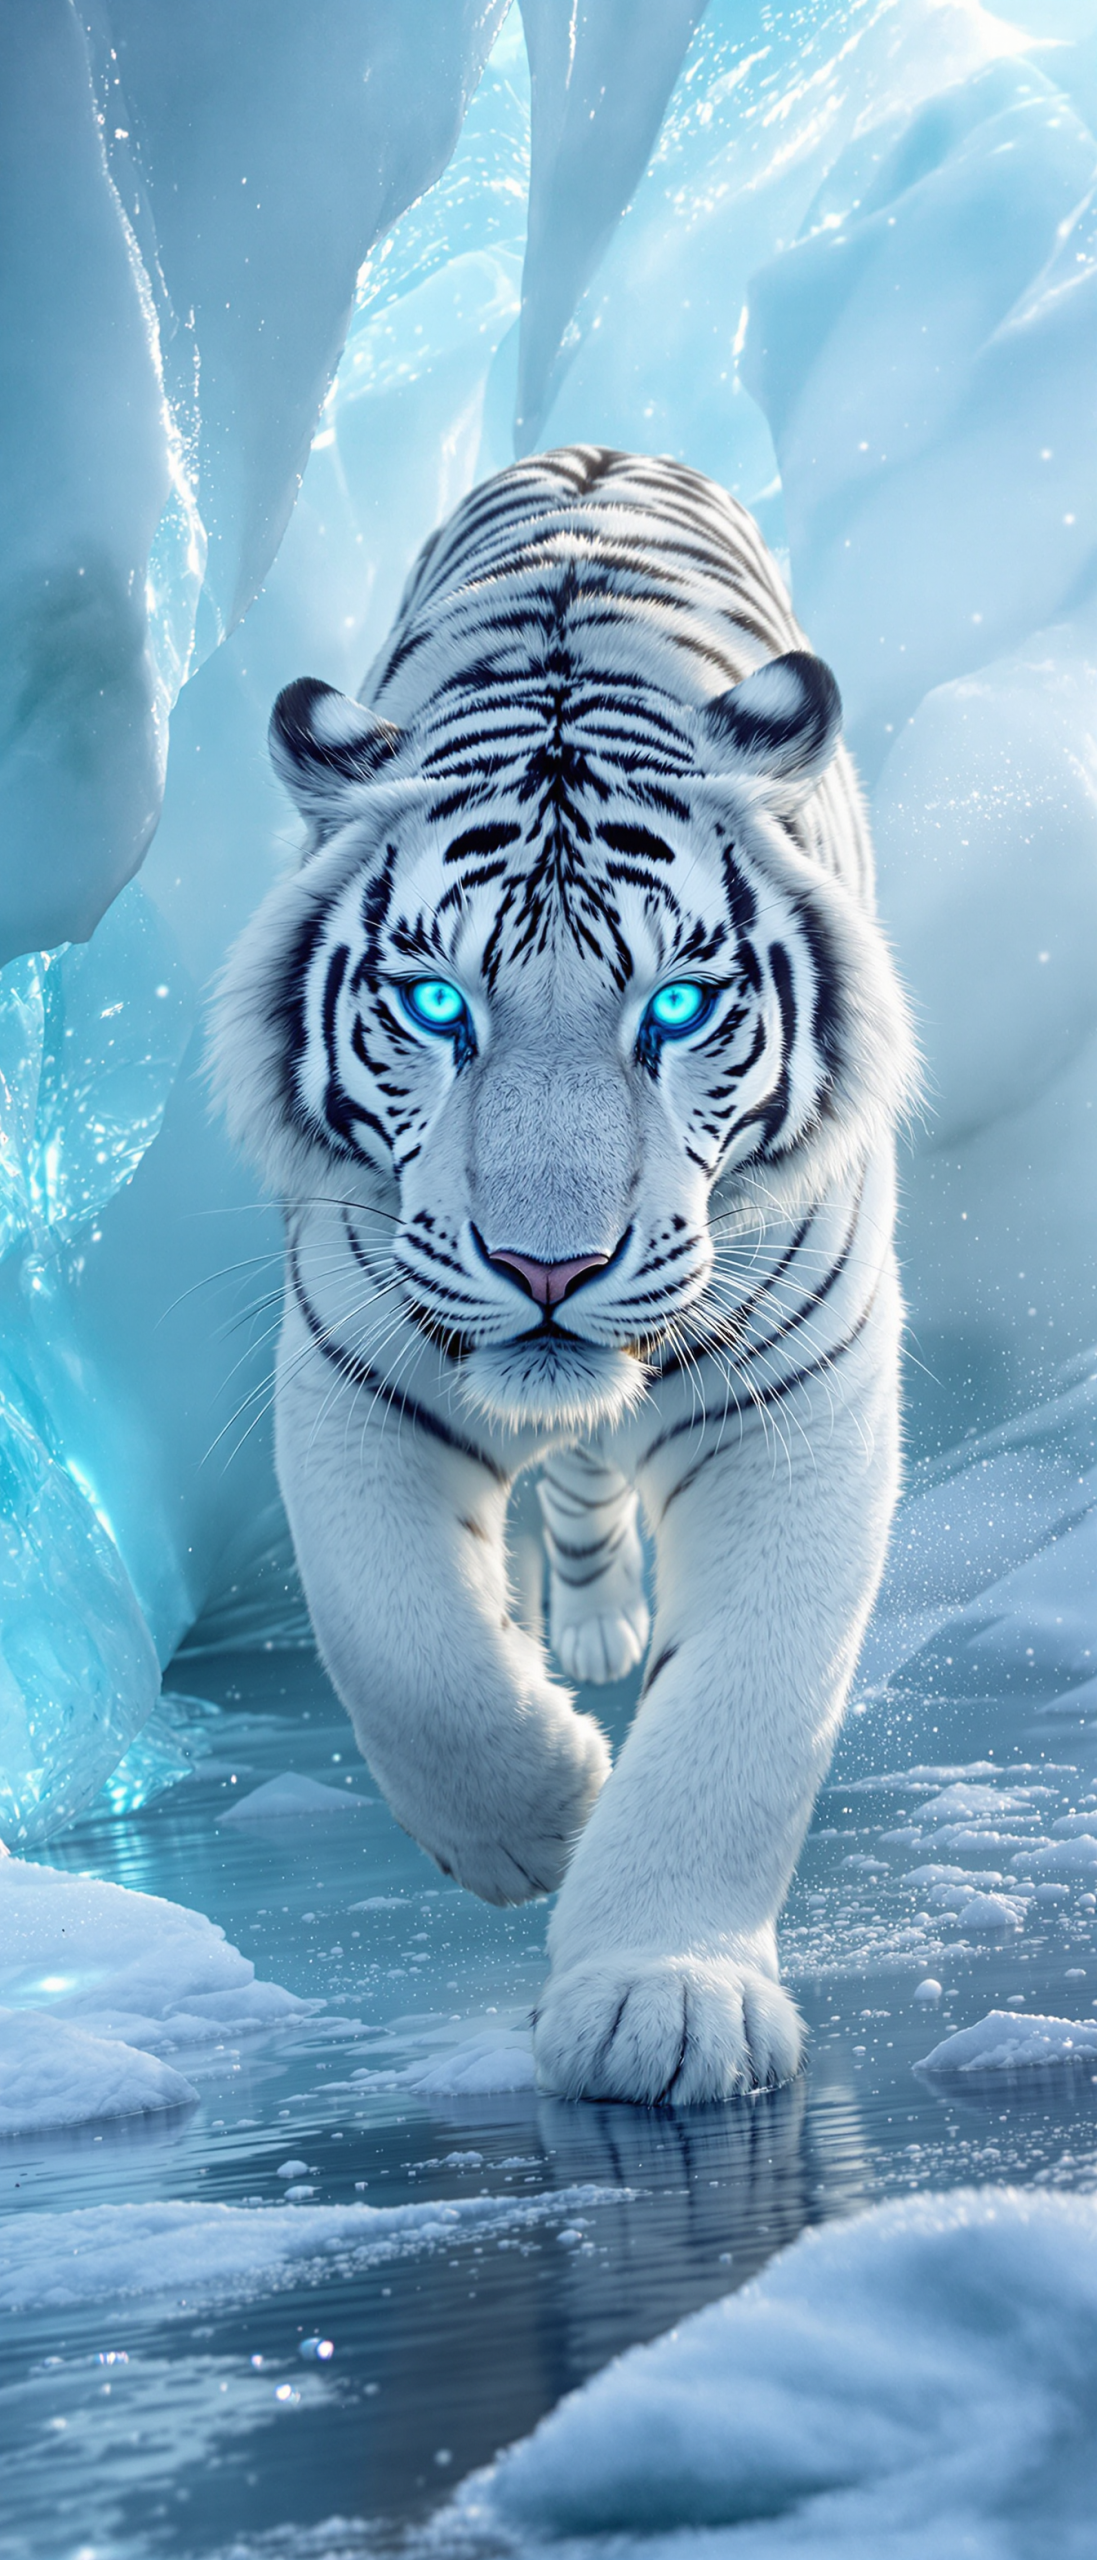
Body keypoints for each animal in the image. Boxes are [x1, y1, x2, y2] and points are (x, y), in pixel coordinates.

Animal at [211, 446, 914, 2106]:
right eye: (431, 1004)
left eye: (675, 1007)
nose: (547, 1265)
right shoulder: (351, 1360)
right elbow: (401, 1648)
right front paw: (536, 1819)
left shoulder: (805, 1394)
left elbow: (745, 1711)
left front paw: (665, 1999)